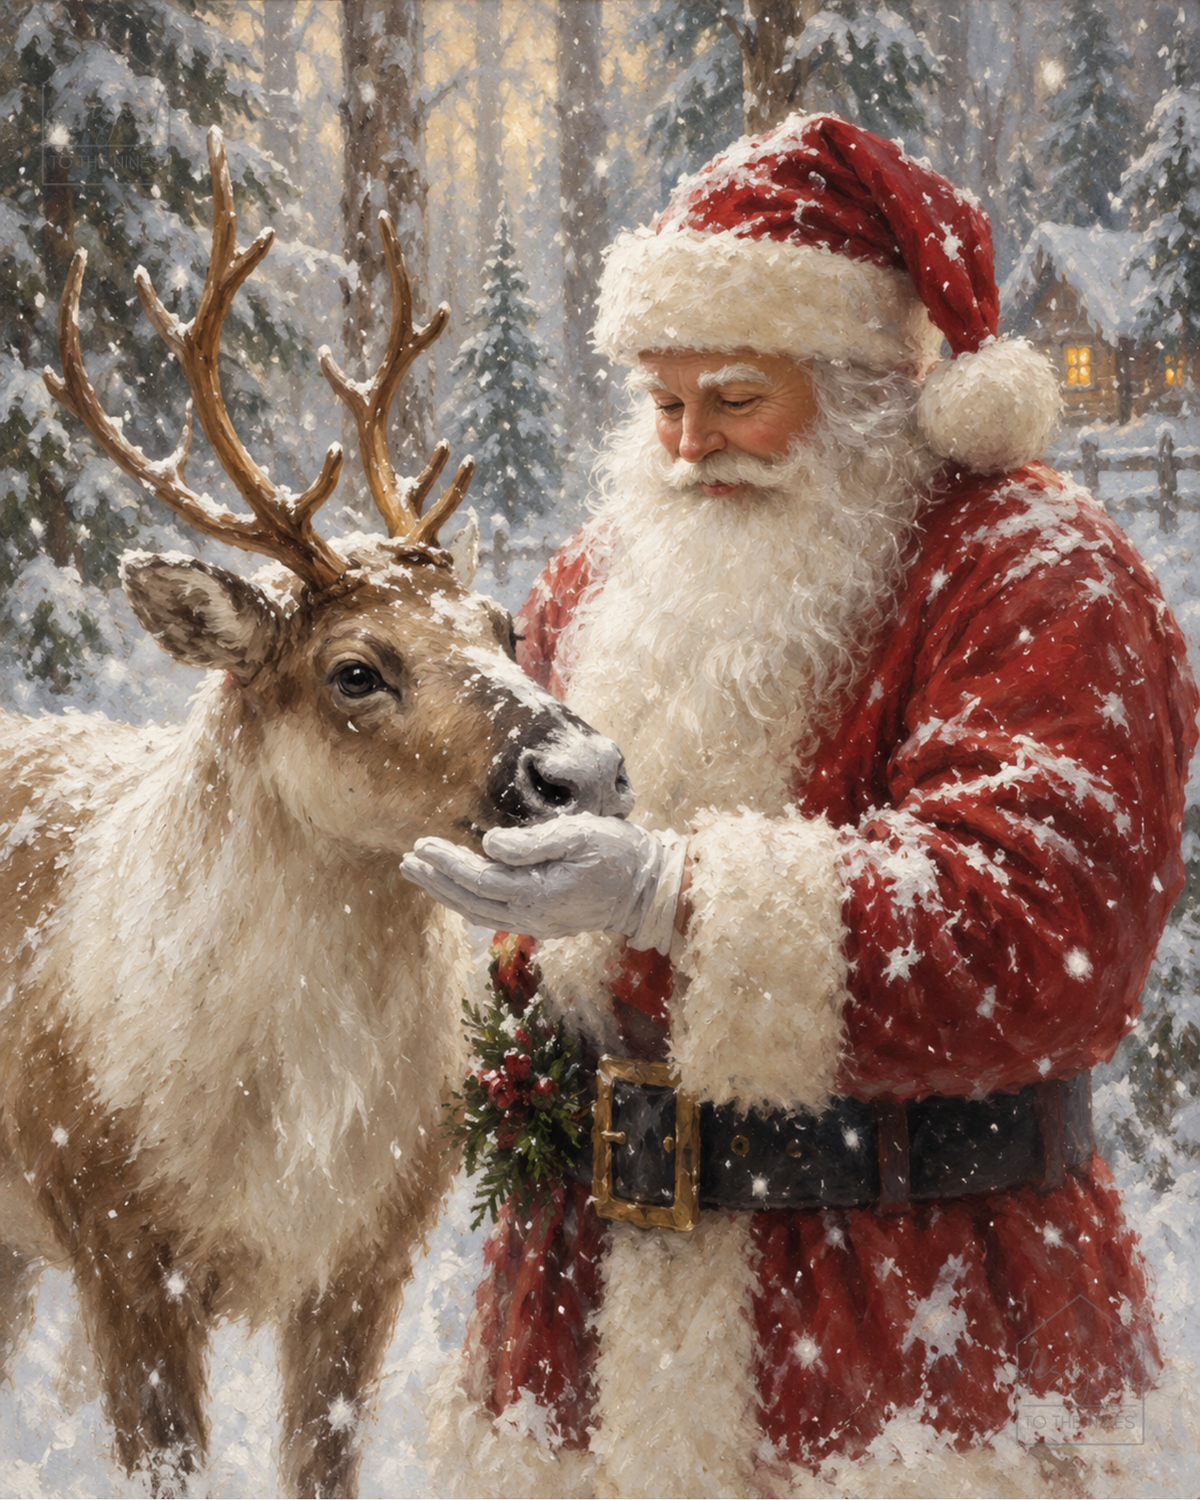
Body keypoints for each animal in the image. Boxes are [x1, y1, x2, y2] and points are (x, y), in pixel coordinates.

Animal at [0, 127, 630, 1498]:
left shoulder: (368, 1258)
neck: (284, 1137)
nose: (585, 771)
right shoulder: (119, 1244)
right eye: (355, 670)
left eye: (503, 625)